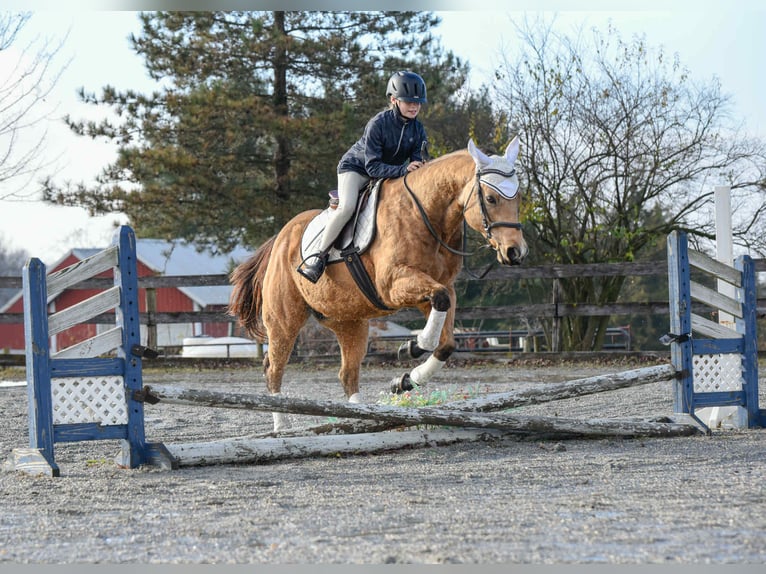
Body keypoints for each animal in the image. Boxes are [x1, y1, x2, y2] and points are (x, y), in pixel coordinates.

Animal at [228, 137, 527, 430]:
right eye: (490, 198)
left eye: (519, 197)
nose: (516, 252)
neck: (426, 214)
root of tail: (279, 237)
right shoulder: (394, 284)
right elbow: (437, 311)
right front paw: (413, 346)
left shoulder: (436, 289)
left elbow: (446, 341)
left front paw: (405, 379)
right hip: (284, 319)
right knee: (273, 367)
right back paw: (282, 424)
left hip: (349, 322)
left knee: (347, 373)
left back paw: (364, 417)